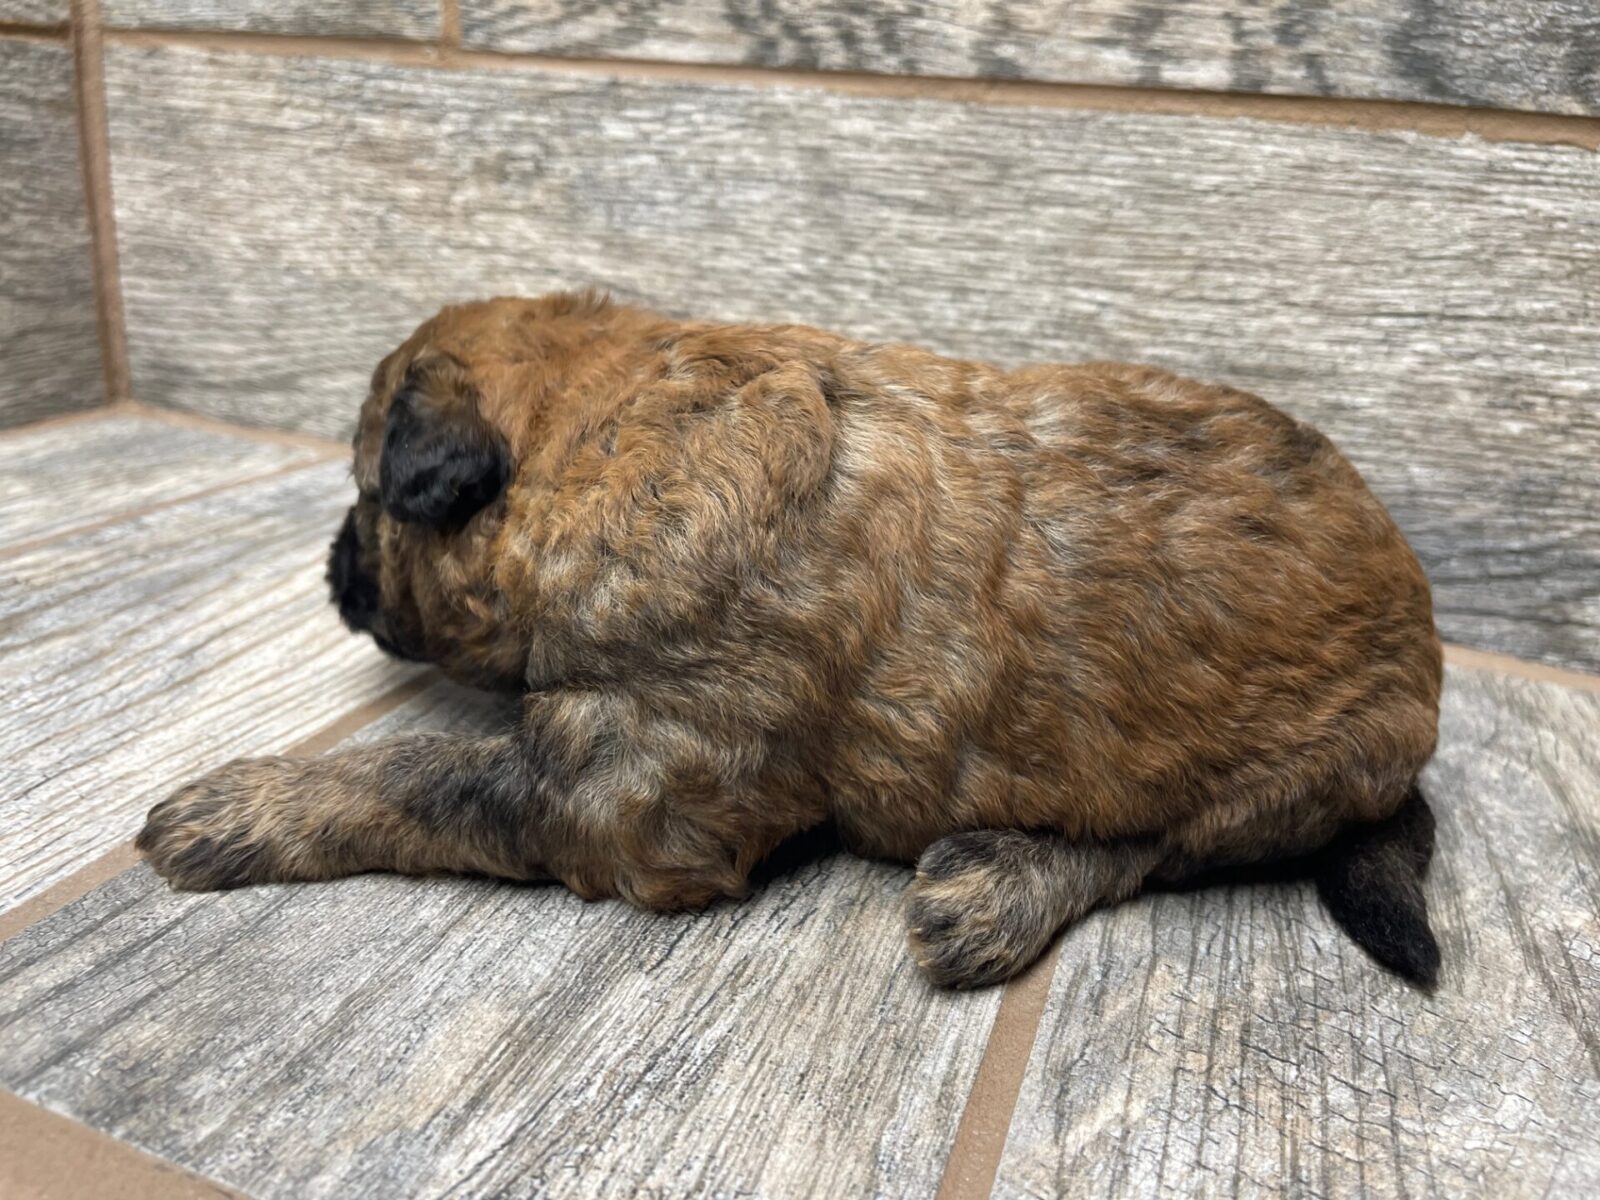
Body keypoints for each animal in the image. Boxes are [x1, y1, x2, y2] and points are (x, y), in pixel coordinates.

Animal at [138, 291, 1444, 989]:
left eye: (362, 495)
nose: (331, 566)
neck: (599, 432)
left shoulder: (629, 785)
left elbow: (422, 774)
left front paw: (233, 806)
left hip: (1293, 767)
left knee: (1152, 847)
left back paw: (994, 891)